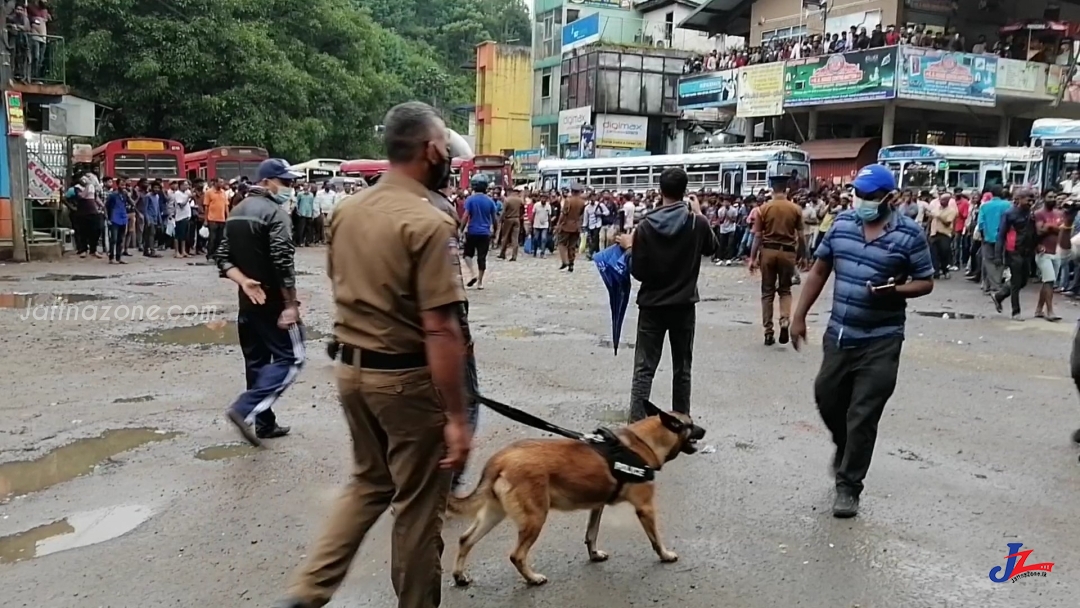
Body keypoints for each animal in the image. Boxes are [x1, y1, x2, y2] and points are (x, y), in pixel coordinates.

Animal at [444, 401, 704, 587]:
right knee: (516, 555)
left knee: (465, 539)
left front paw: (594, 554)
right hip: (535, 518)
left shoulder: (597, 505)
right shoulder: (646, 508)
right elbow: (655, 539)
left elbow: (591, 534)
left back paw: (459, 576)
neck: (644, 442)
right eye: (690, 424)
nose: (704, 429)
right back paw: (532, 578)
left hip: (494, 514)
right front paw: (665, 555)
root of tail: (500, 459)